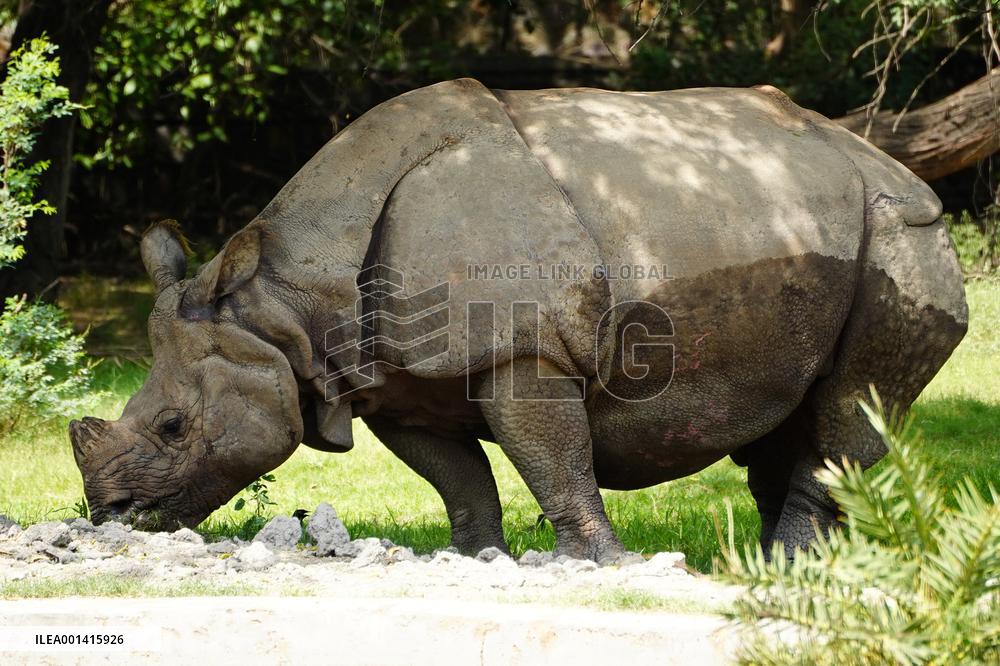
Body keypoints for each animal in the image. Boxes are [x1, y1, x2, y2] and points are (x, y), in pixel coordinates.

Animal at [69, 79, 967, 562]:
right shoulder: (391, 380)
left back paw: (787, 561)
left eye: (176, 427)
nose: (110, 516)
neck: (280, 306)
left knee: (852, 404)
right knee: (795, 412)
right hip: (788, 218)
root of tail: (894, 164)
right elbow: (458, 475)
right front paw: (474, 556)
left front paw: (600, 562)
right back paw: (790, 566)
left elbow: (553, 459)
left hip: (904, 233)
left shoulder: (524, 352)